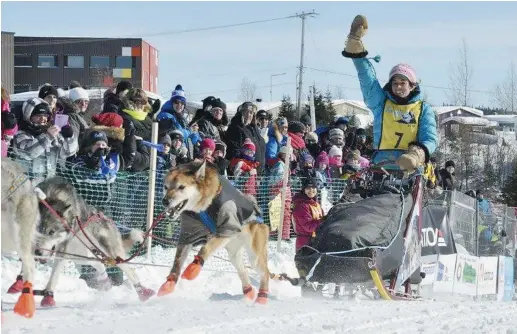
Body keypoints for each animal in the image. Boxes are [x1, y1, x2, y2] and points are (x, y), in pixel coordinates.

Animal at [157, 160, 270, 304]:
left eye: (181, 187)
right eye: (166, 187)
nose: (165, 201)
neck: (203, 206)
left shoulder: (227, 227)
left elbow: (205, 248)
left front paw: (193, 268)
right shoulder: (188, 234)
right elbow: (177, 262)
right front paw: (169, 283)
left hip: (254, 256)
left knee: (265, 273)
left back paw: (261, 298)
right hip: (234, 254)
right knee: (243, 271)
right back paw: (248, 292)